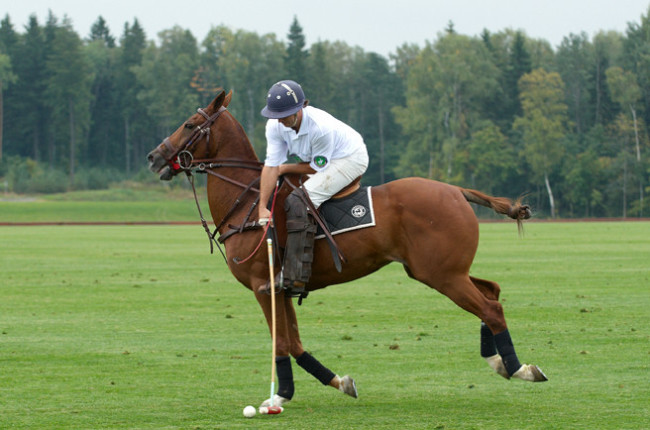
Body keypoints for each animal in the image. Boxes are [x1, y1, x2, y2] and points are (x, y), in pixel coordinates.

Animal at [146, 90, 540, 410]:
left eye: (189, 123)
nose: (153, 157)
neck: (246, 202)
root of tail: (457, 190)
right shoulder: (282, 288)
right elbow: (295, 343)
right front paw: (338, 383)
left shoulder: (263, 286)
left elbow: (281, 343)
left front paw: (279, 396)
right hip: (443, 270)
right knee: (492, 291)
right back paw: (499, 362)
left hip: (442, 275)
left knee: (490, 307)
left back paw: (520, 368)